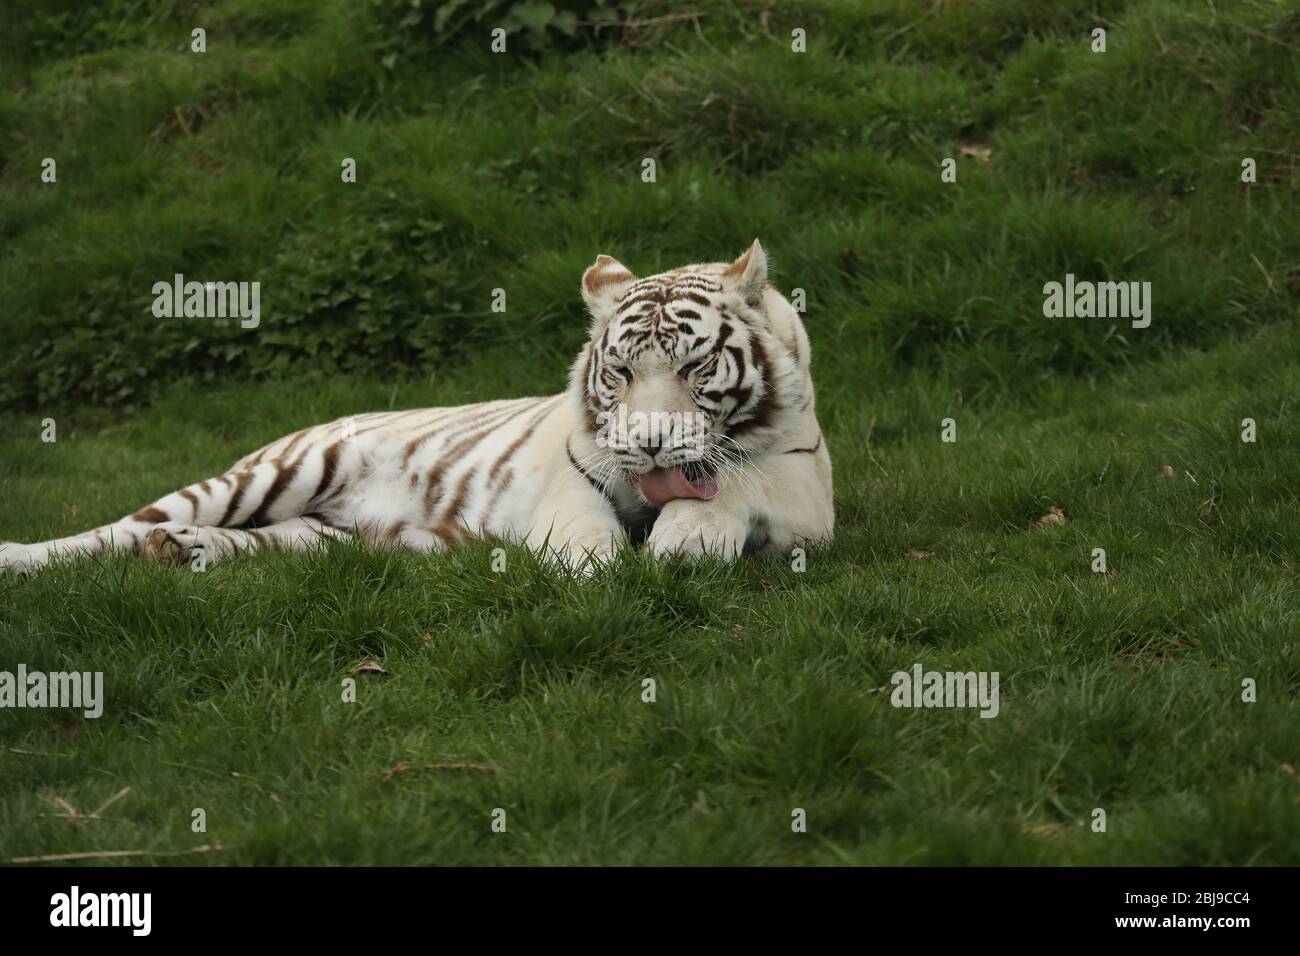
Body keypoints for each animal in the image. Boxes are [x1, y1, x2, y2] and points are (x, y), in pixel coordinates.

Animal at [0, 243, 832, 580]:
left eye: (694, 367)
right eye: (622, 372)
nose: (651, 445)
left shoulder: (807, 485)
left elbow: (743, 480)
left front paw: (688, 536)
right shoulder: (574, 476)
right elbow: (585, 530)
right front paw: (593, 566)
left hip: (321, 539)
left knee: (258, 547)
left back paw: (183, 552)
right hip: (276, 473)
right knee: (112, 531)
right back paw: (31, 557)